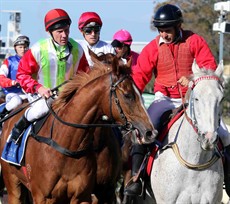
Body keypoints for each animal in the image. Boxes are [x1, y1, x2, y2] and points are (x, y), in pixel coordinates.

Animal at [0, 53, 157, 203]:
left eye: (140, 93)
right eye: (127, 95)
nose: (151, 132)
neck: (67, 144)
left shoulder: (87, 195)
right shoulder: (43, 197)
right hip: (13, 184)